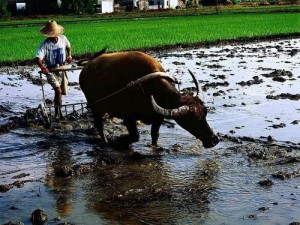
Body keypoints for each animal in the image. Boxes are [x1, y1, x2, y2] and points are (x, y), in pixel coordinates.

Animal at [78, 50, 219, 148]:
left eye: (205, 113)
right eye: (191, 119)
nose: (214, 140)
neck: (149, 88)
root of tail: (86, 67)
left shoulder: (158, 118)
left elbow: (154, 135)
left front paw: (155, 147)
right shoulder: (128, 117)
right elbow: (135, 136)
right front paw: (118, 141)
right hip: (96, 107)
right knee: (99, 124)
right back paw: (105, 140)